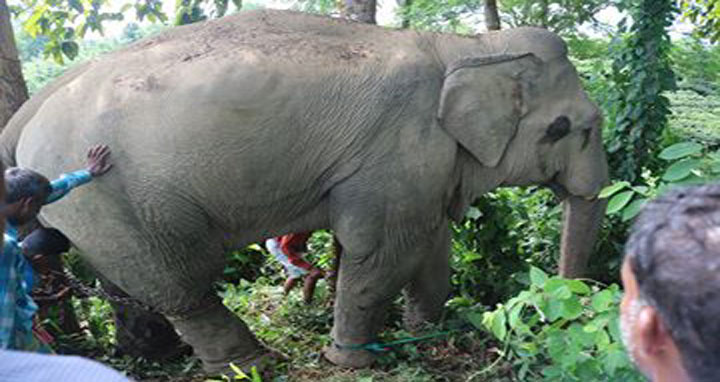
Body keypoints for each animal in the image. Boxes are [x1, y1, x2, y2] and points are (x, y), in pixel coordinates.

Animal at [0, 8, 608, 372]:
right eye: (565, 128)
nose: (552, 316)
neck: (464, 46)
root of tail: (28, 115)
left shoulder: (422, 163)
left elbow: (431, 244)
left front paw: (431, 333)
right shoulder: (398, 151)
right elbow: (383, 253)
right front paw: (349, 361)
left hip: (100, 206)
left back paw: (162, 356)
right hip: (114, 199)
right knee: (182, 286)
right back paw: (250, 364)